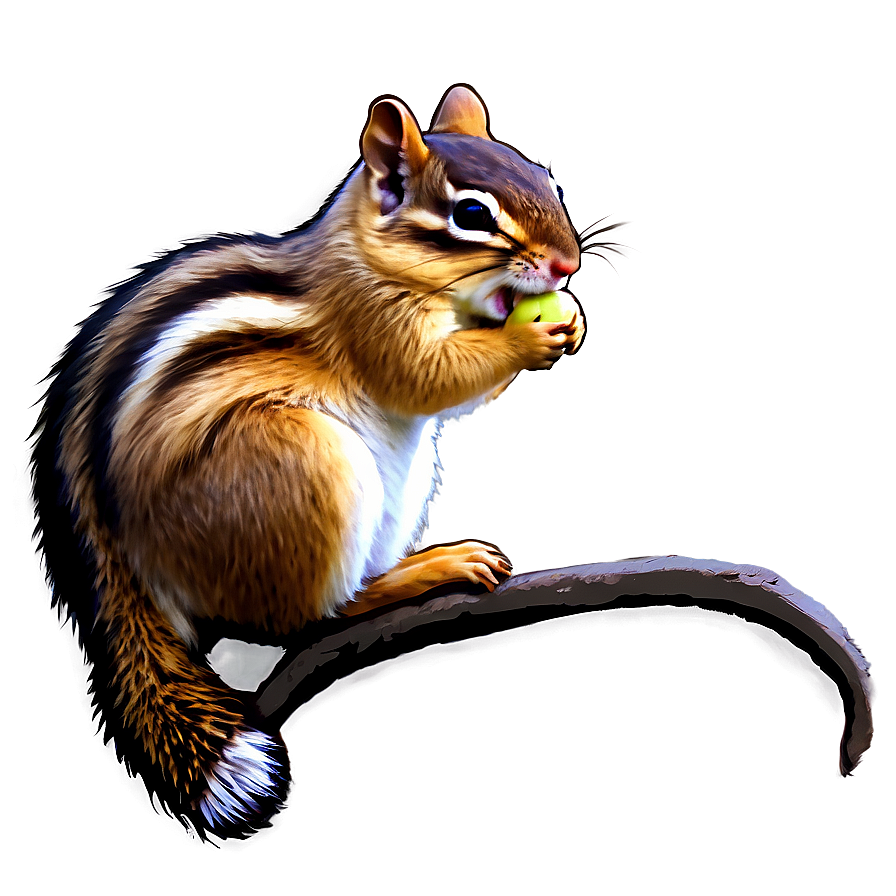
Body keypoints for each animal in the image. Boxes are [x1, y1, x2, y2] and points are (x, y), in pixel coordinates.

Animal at [31, 84, 586, 840]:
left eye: (547, 182)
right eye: (472, 214)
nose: (567, 266)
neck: (369, 258)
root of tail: (131, 564)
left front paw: (565, 324)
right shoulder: (373, 323)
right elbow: (426, 379)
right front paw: (527, 341)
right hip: (305, 464)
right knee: (307, 620)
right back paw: (419, 577)